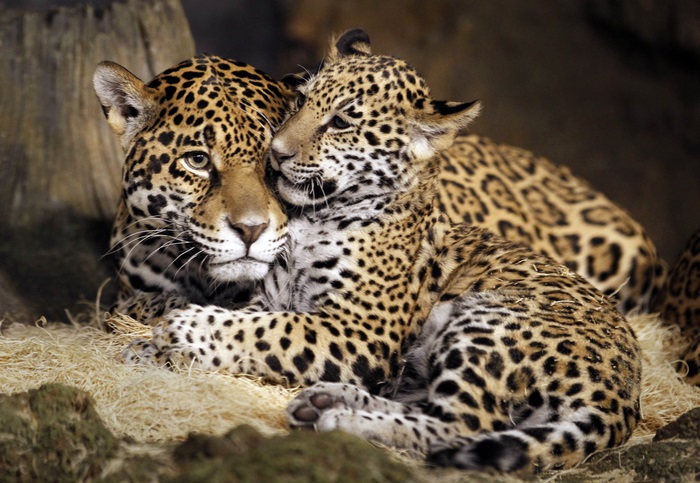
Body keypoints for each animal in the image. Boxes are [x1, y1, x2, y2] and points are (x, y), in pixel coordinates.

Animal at [123, 29, 642, 472]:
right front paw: (148, 346)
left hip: (490, 322)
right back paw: (326, 401)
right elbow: (248, 320)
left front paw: (182, 327)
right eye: (302, 101)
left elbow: (266, 331)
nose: (277, 153)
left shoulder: (359, 328)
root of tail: (625, 393)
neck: (317, 215)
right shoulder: (270, 296)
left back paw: (340, 418)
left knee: (463, 424)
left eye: (341, 122)